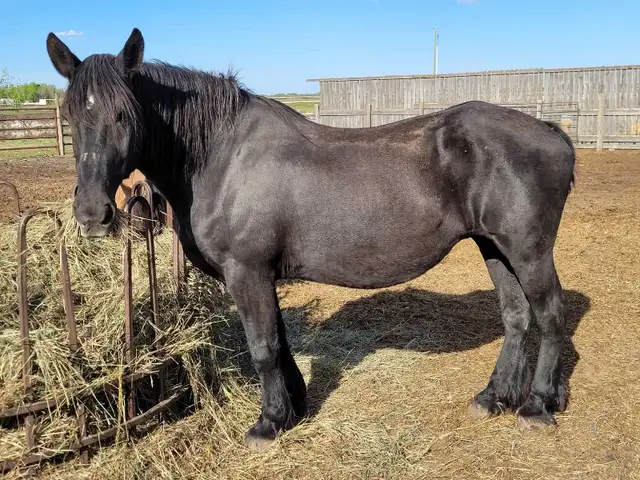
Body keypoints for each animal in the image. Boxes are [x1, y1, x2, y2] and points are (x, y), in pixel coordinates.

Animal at [46, 28, 577, 449]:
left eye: (124, 114)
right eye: (70, 114)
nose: (93, 215)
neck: (221, 157)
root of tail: (551, 132)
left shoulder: (247, 272)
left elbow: (262, 347)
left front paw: (267, 423)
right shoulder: (263, 275)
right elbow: (280, 342)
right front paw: (293, 408)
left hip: (528, 251)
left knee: (550, 315)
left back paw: (537, 405)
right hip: (495, 248)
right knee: (516, 317)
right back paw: (494, 397)